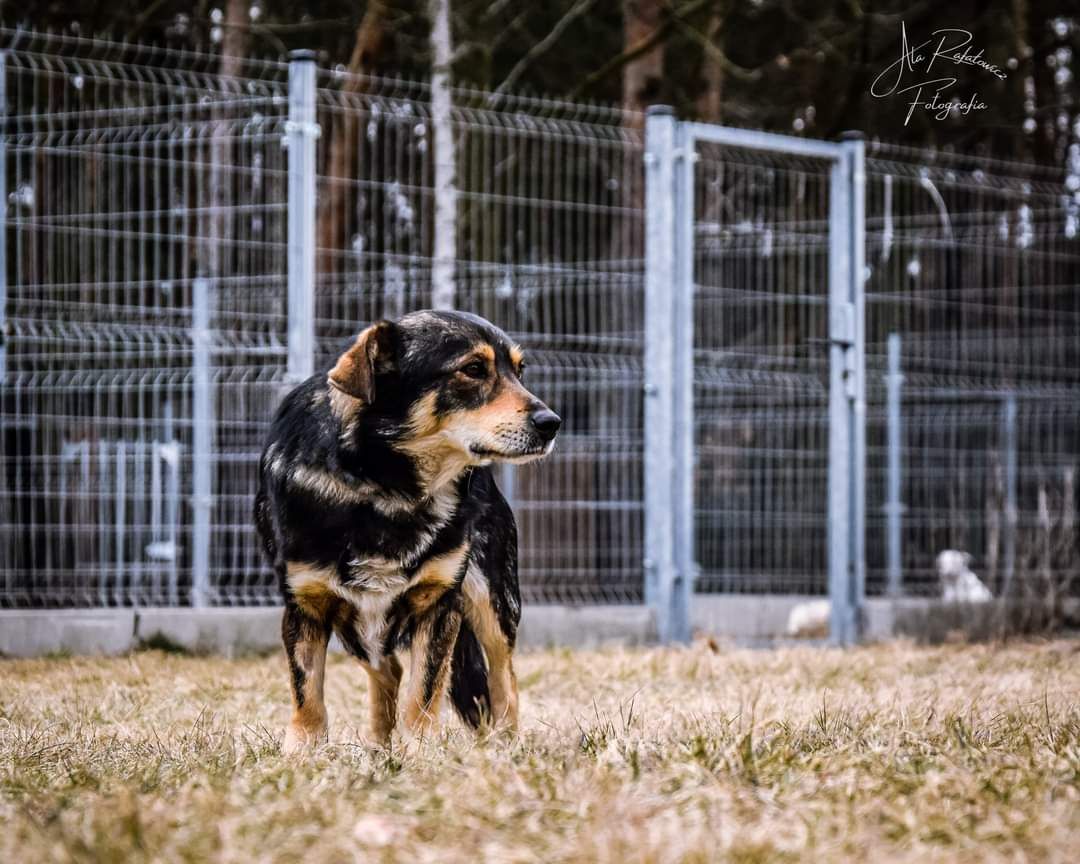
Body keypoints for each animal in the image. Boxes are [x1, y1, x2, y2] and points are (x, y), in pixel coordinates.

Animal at [252, 308, 557, 747]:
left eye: (519, 371)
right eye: (473, 369)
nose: (552, 423)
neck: (387, 487)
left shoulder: (439, 603)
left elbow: (423, 693)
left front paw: (421, 751)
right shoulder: (306, 603)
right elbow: (307, 693)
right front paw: (302, 751)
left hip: (493, 596)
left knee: (503, 680)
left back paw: (505, 744)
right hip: (356, 623)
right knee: (388, 670)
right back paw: (380, 748)